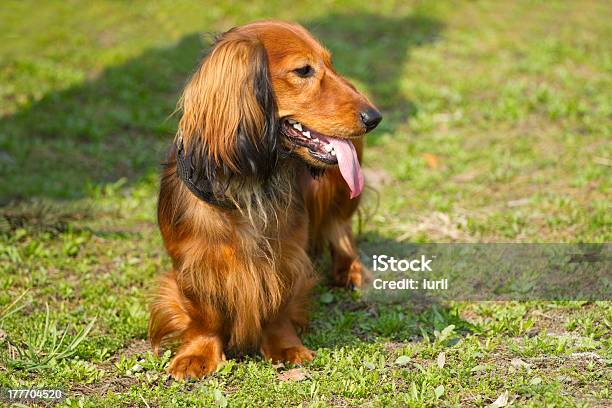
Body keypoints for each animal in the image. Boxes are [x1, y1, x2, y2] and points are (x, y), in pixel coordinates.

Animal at [148, 20, 380, 380]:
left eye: (330, 64)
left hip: (336, 188)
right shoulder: (192, 263)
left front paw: (285, 347)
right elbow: (203, 313)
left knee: (339, 227)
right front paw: (197, 353)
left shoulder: (286, 258)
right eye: (303, 70)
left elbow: (278, 306)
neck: (249, 185)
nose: (374, 117)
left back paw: (351, 270)